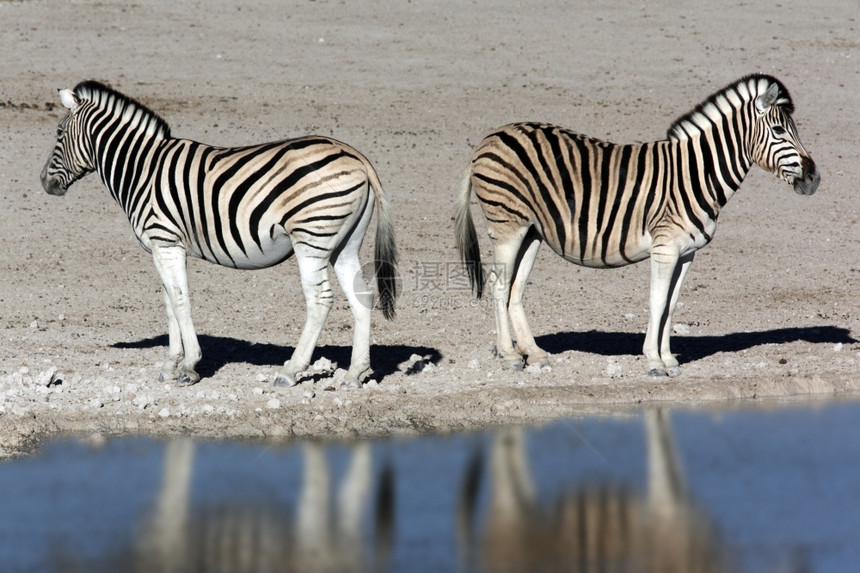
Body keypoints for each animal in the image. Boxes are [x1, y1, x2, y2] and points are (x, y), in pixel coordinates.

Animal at [42, 81, 398, 388]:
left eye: (59, 133)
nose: (44, 182)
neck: (141, 169)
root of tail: (356, 156)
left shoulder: (166, 241)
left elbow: (180, 300)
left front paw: (189, 366)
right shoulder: (164, 247)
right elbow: (169, 301)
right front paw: (170, 364)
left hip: (311, 239)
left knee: (320, 300)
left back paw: (291, 371)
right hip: (344, 244)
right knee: (362, 296)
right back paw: (355, 373)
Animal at [456, 75, 820, 376]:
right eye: (779, 131)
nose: (814, 179)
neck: (696, 174)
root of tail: (488, 139)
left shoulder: (687, 253)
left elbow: (671, 304)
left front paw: (670, 359)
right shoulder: (665, 248)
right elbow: (657, 301)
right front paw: (654, 362)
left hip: (531, 231)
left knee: (515, 288)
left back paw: (533, 353)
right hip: (508, 226)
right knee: (499, 284)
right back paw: (509, 356)